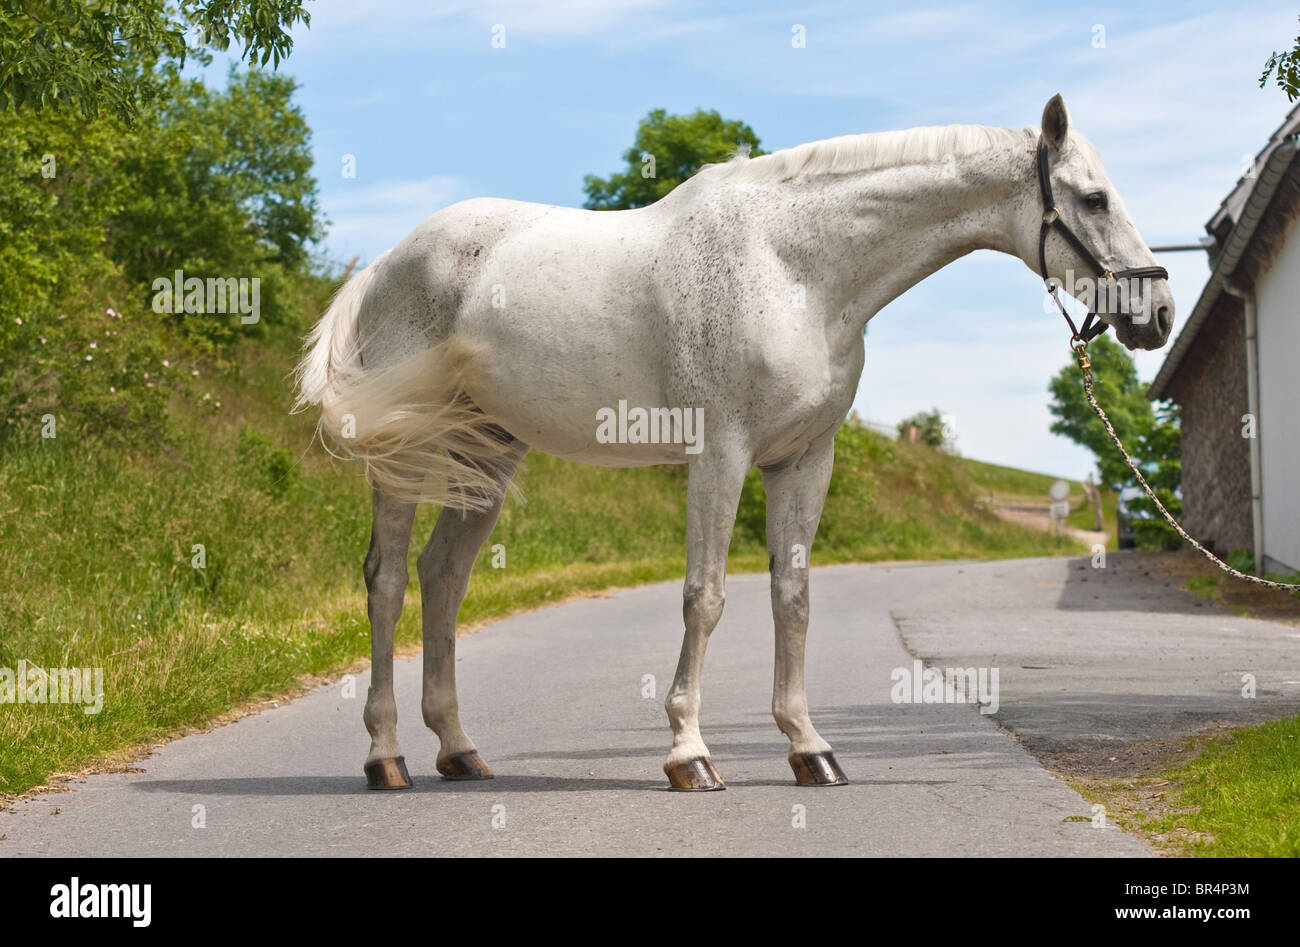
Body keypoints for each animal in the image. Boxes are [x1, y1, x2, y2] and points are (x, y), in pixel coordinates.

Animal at [299, 96, 1175, 790]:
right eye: (1093, 197)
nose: (1157, 313)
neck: (795, 268)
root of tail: (384, 265)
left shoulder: (803, 461)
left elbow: (793, 598)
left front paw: (810, 747)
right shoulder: (720, 455)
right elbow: (706, 595)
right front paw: (690, 752)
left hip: (487, 453)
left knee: (443, 578)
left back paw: (458, 749)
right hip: (410, 457)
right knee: (387, 582)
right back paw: (386, 756)